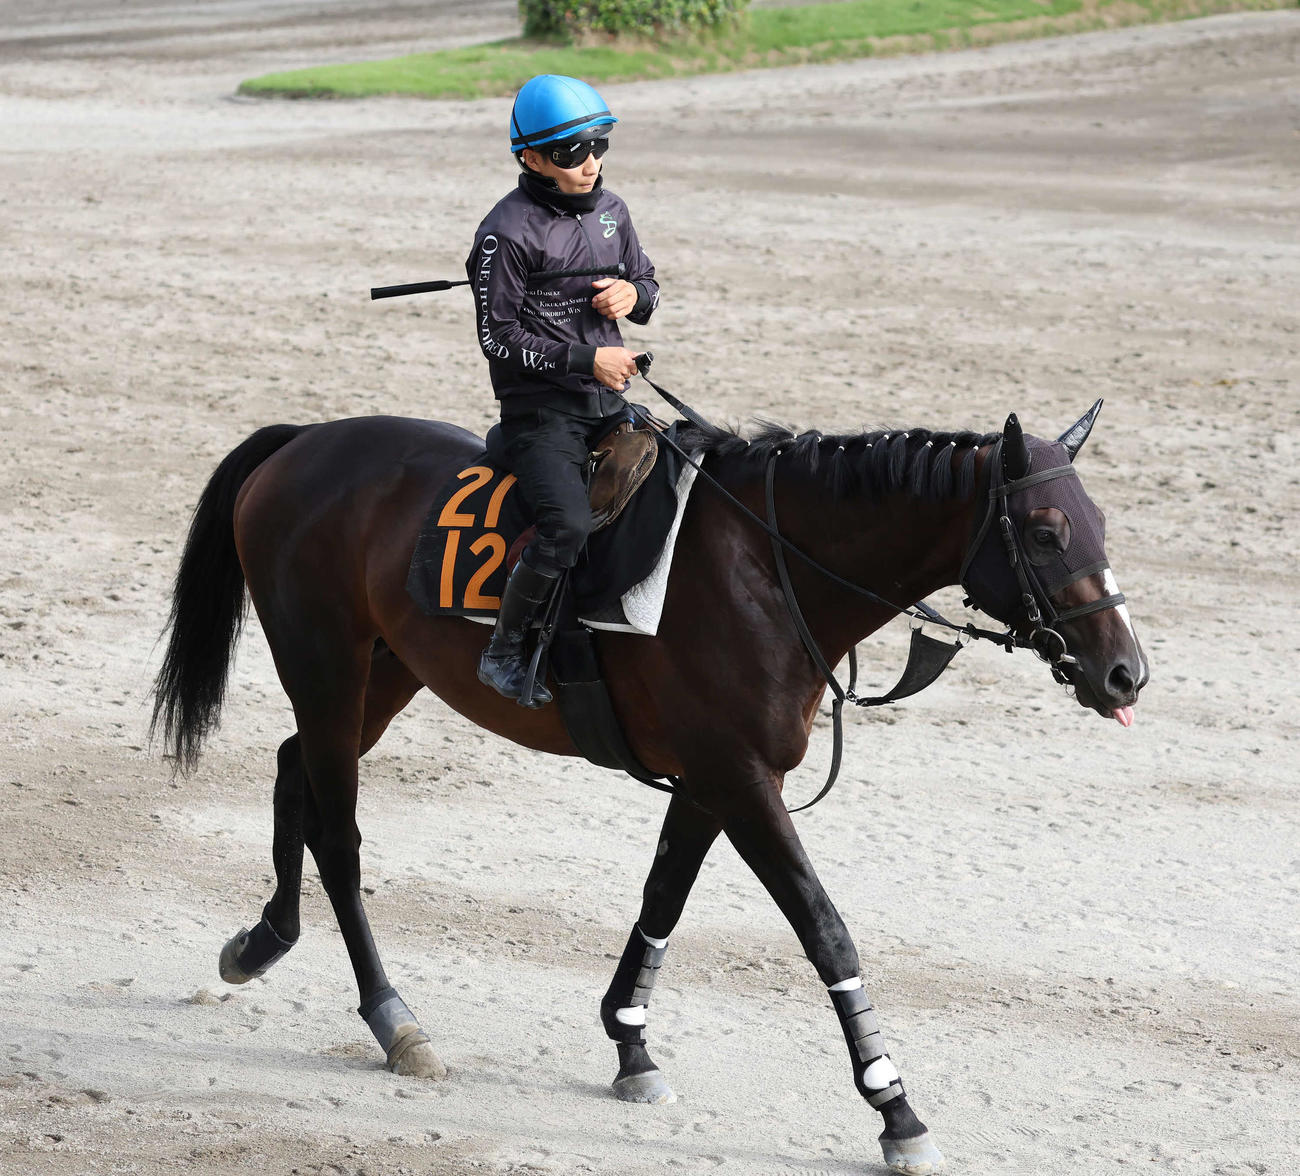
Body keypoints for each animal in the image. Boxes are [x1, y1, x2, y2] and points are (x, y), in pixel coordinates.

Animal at [150, 401, 1147, 1175]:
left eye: (1099, 519)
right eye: (1047, 531)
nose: (1126, 672)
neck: (767, 570)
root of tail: (304, 441)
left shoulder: (713, 781)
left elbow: (663, 896)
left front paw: (629, 1041)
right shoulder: (741, 782)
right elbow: (824, 928)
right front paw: (894, 1106)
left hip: (383, 673)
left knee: (295, 773)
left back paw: (263, 940)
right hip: (325, 661)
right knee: (341, 834)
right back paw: (396, 1021)